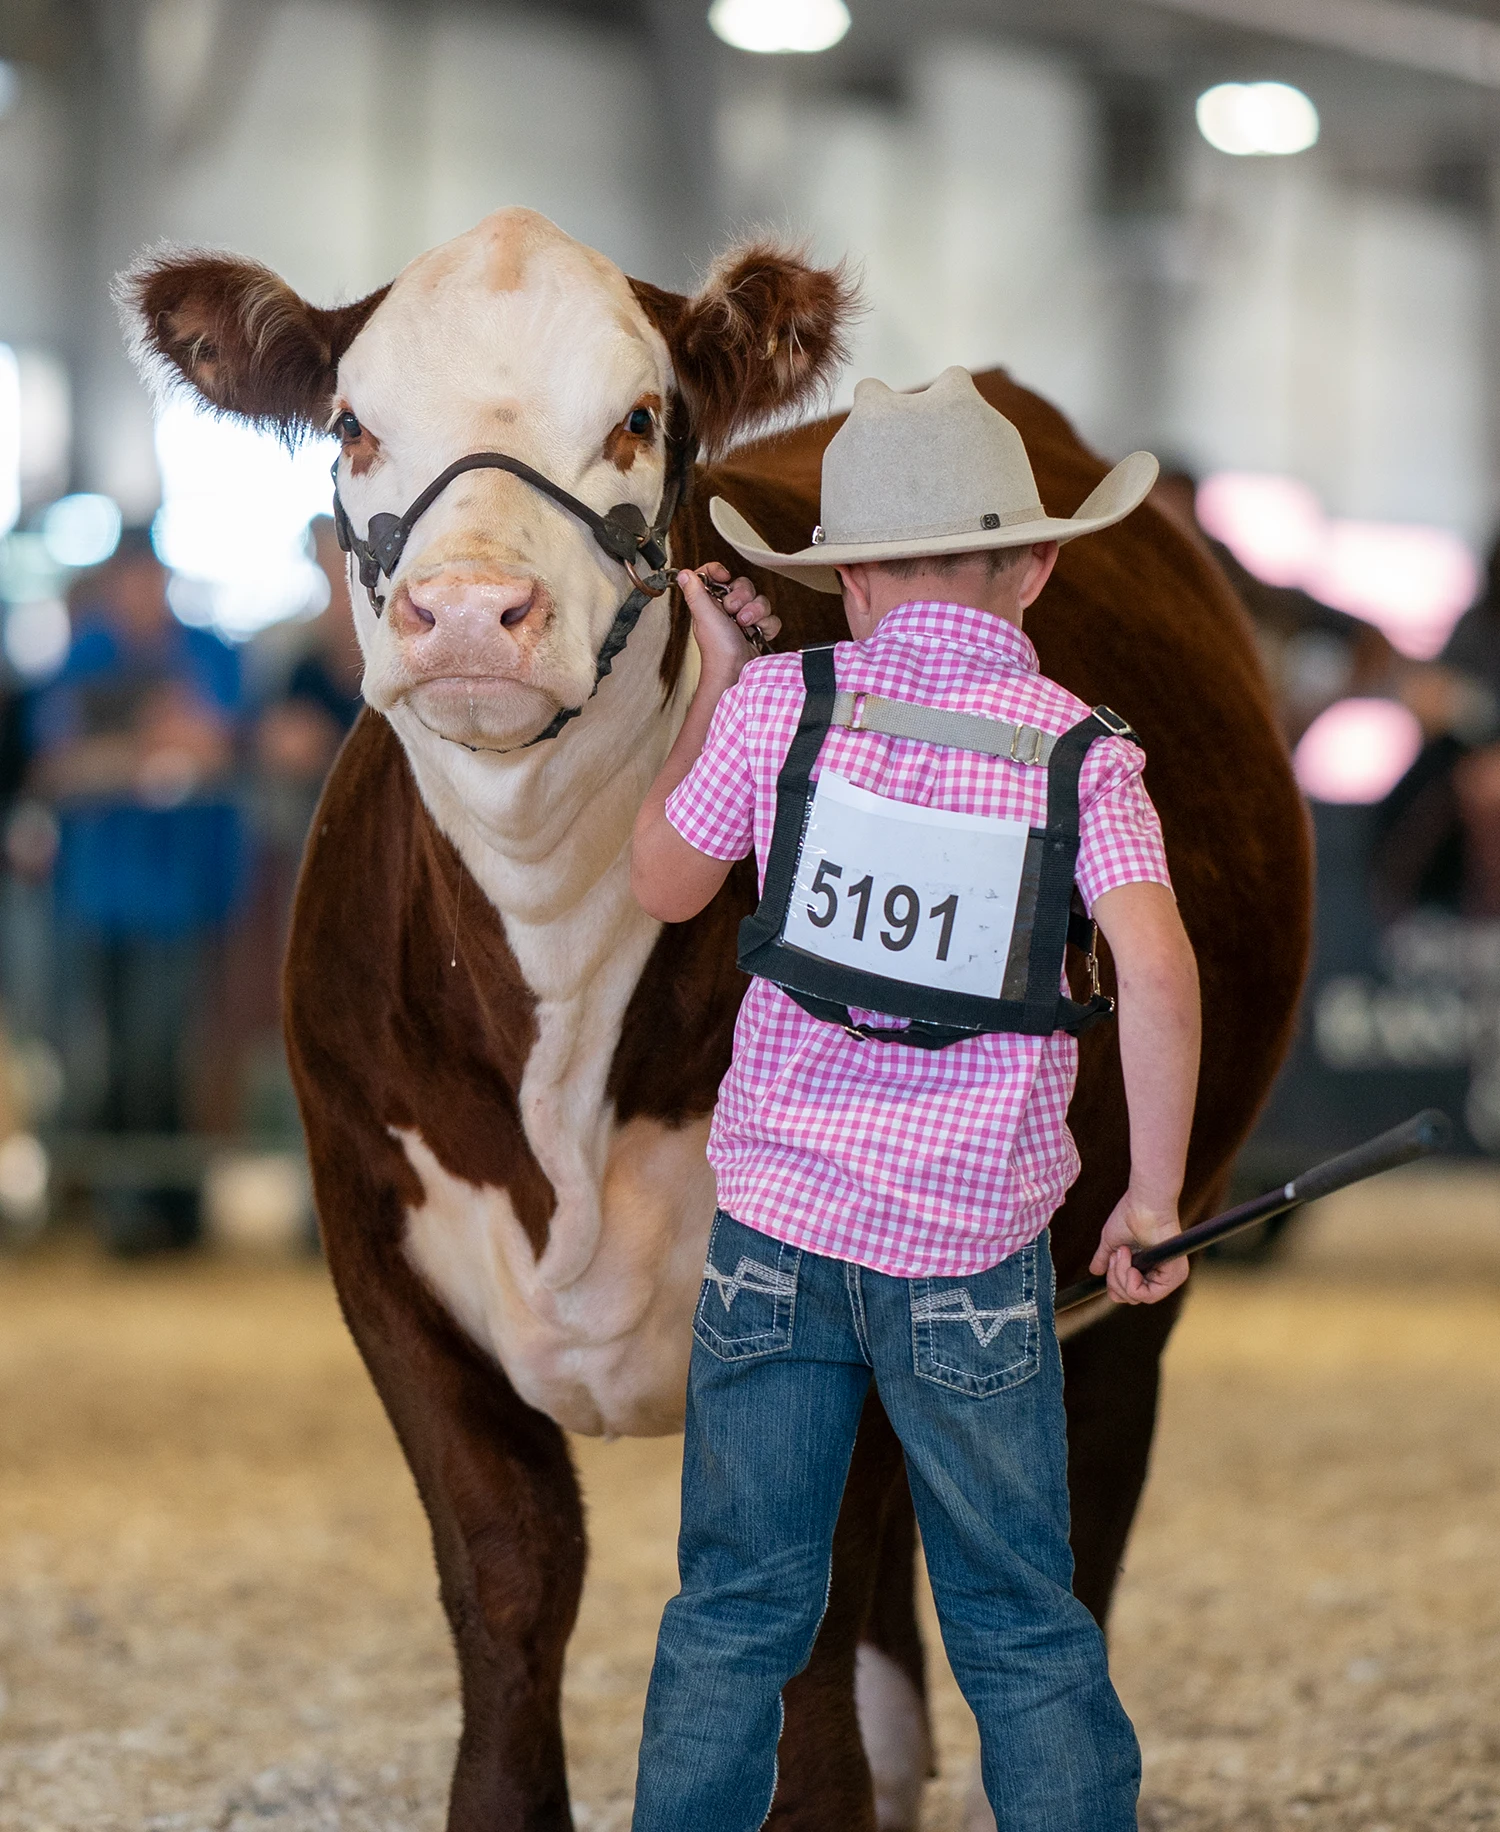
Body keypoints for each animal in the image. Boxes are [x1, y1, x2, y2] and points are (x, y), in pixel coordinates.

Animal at [123, 207, 1309, 1832]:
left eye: (637, 417)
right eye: (354, 424)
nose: (469, 612)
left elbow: (811, 1608)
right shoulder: (376, 1246)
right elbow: (511, 1572)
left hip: (1153, 1236)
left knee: (1075, 1505)